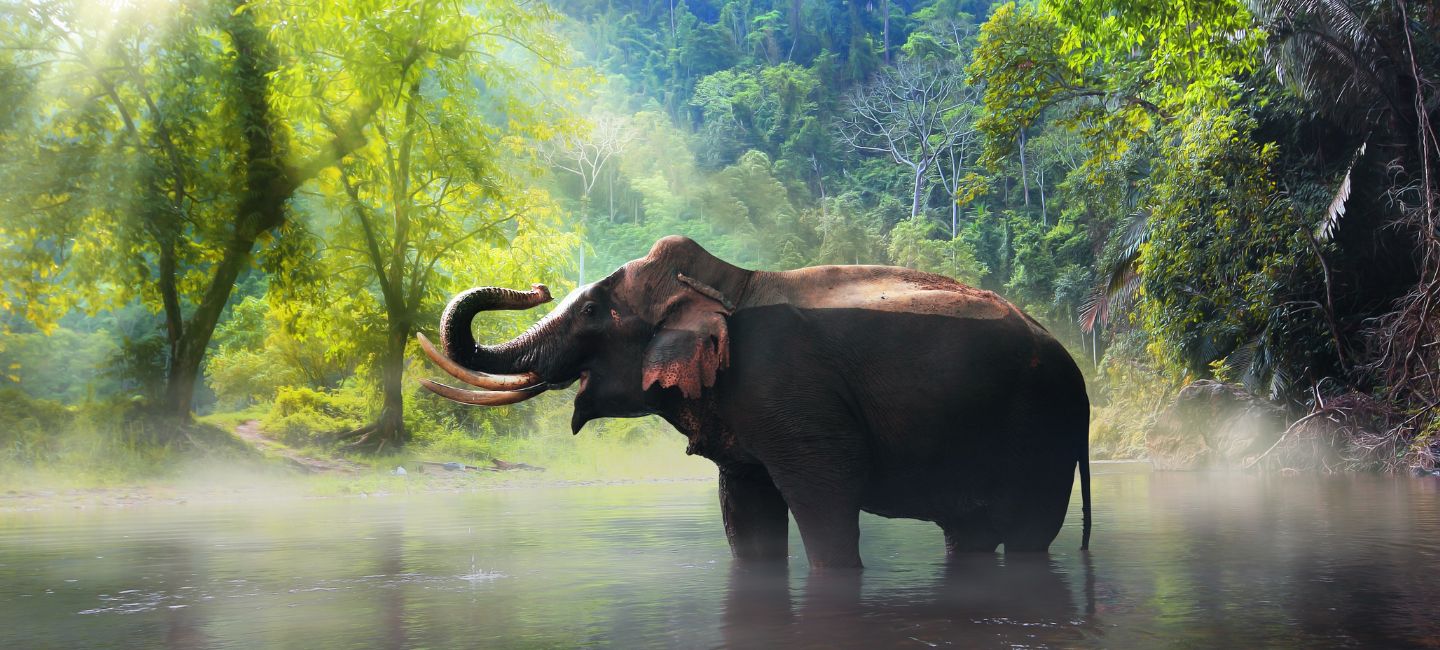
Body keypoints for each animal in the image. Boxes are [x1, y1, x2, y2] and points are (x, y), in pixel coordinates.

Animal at [418, 235, 1091, 569]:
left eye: (590, 311)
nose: (536, 285)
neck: (727, 284)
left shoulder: (793, 394)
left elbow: (826, 497)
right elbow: (744, 508)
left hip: (1045, 431)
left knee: (1030, 534)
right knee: (969, 534)